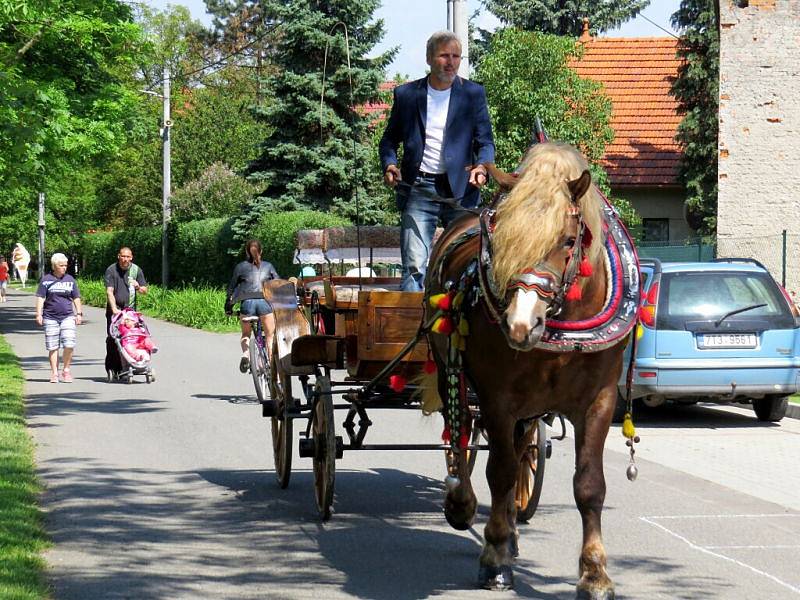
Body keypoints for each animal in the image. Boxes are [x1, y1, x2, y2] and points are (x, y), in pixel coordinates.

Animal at [422, 142, 640, 600]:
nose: (521, 325)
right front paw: (494, 559)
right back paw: (464, 506)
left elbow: (589, 485)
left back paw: (510, 533)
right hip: (453, 372)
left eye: (569, 240)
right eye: (501, 237)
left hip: (531, 408)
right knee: (461, 437)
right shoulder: (497, 399)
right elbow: (499, 472)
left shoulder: (598, 401)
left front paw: (595, 574)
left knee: (521, 452)